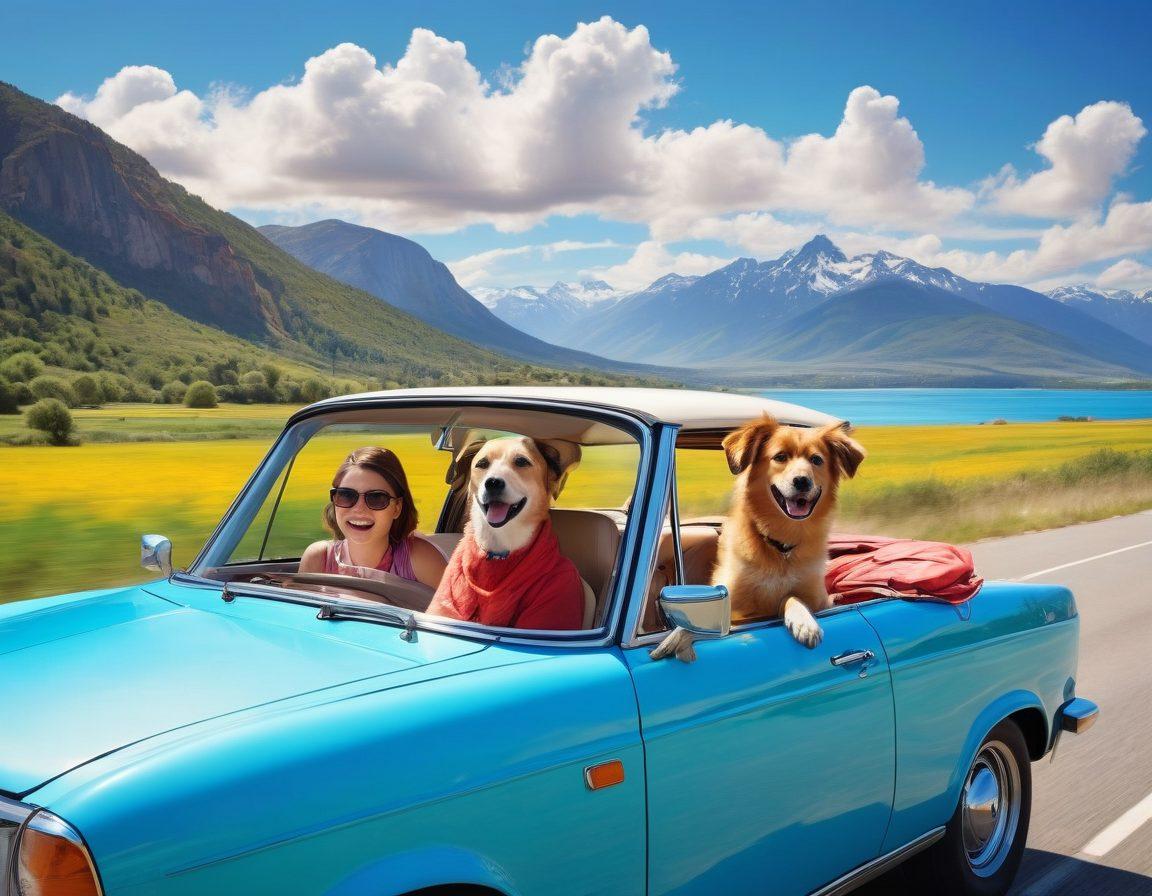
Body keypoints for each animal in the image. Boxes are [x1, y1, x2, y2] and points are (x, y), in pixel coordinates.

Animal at [709, 414, 866, 644]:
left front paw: (805, 622)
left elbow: (791, 596)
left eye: (816, 460)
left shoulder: (819, 601)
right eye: (780, 457)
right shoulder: (735, 612)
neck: (783, 547)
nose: (802, 481)